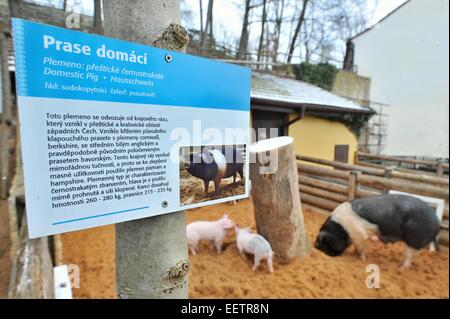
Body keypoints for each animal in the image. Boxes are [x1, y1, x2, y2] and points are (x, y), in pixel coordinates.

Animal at [312, 194, 440, 268]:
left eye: (323, 244)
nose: (329, 255)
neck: (340, 227)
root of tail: (437, 223)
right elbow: (357, 248)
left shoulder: (359, 234)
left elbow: (360, 249)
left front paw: (361, 261)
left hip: (415, 239)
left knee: (409, 256)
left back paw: (401, 268)